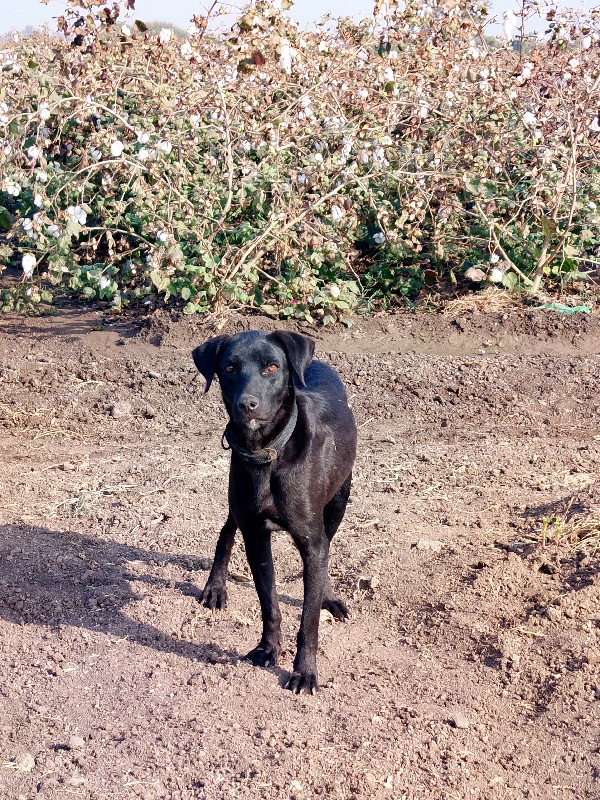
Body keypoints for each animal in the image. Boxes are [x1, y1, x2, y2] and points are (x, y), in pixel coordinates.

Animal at [193, 332, 356, 692]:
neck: (268, 453)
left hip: (338, 502)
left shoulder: (311, 540)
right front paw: (268, 649)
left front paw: (305, 672)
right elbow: (269, 604)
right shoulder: (255, 535)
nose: (247, 404)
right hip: (237, 502)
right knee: (226, 531)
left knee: (327, 546)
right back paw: (215, 587)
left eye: (271, 367)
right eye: (229, 368)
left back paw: (329, 596)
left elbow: (309, 619)